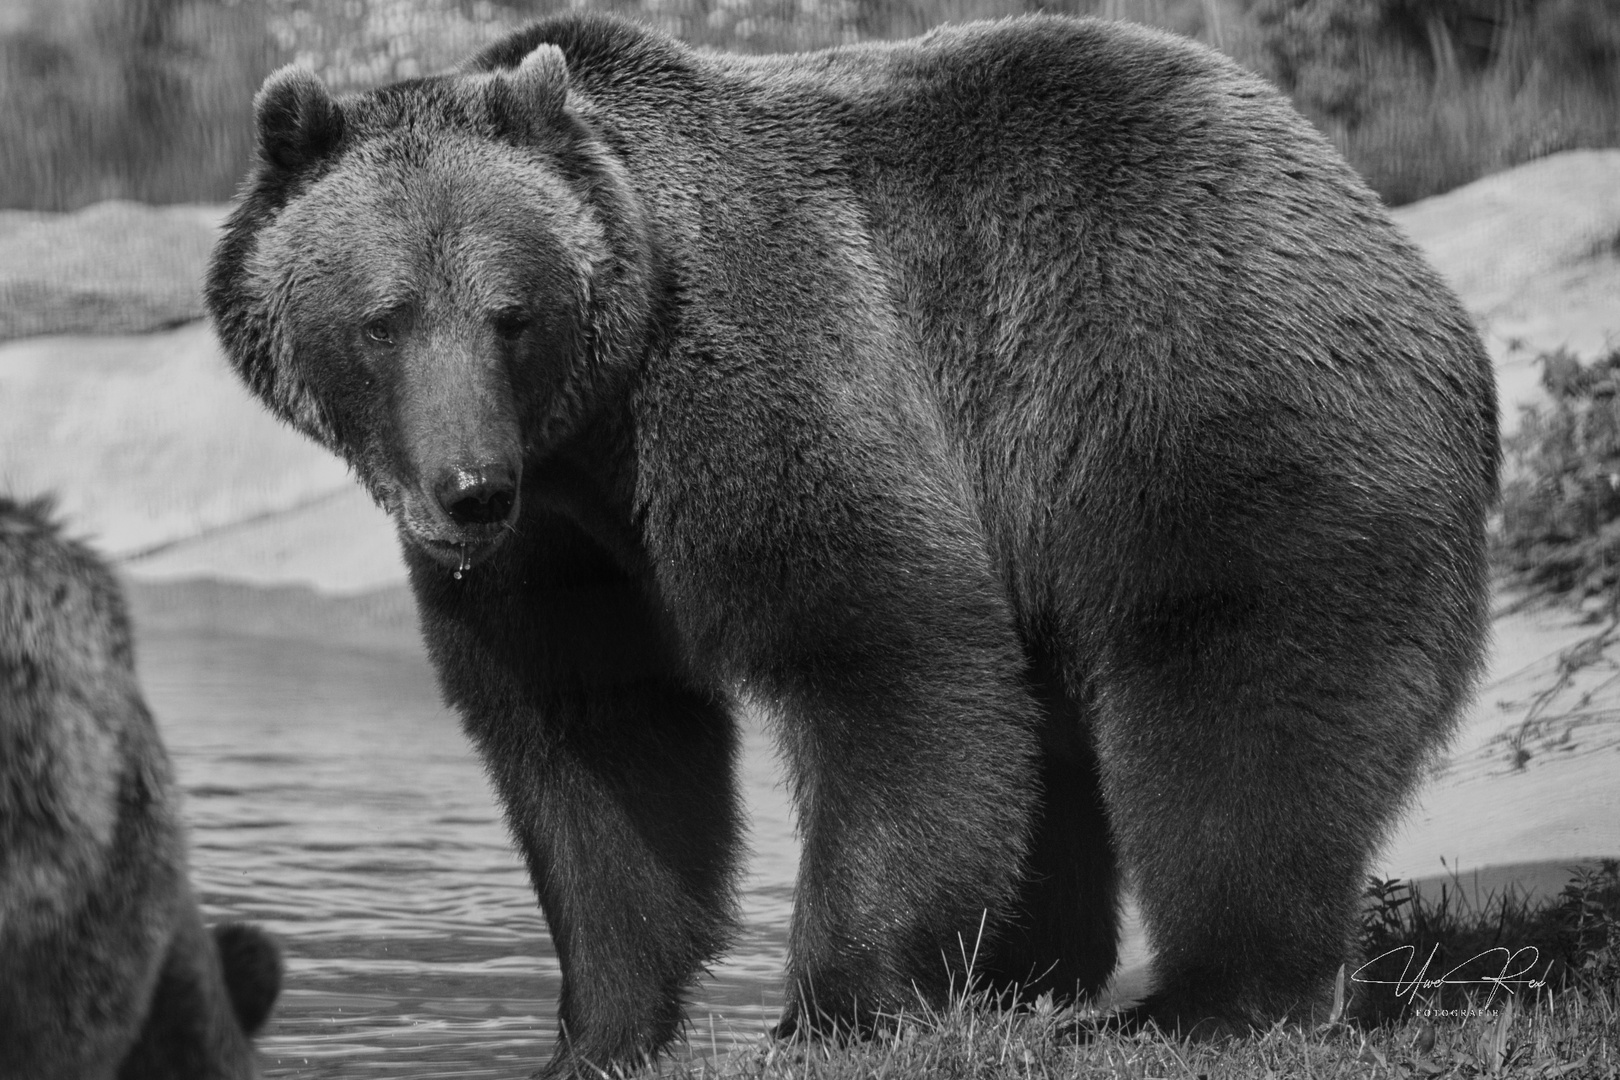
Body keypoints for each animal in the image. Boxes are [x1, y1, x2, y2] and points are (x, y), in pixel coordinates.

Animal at [202, 12, 1490, 1075]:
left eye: (510, 313)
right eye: (384, 318)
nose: (468, 489)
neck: (591, 434)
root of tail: (1368, 212)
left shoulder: (765, 375)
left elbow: (885, 652)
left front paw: (829, 1008)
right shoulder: (556, 555)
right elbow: (597, 744)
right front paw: (596, 1031)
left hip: (1197, 398)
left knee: (1238, 699)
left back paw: (1196, 999)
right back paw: (1027, 976)